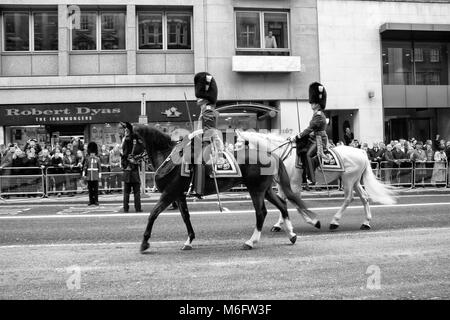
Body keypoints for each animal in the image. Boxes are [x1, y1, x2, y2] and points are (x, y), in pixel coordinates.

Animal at [127, 125, 320, 252]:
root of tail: (271, 153)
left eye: (128, 139)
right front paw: (189, 241)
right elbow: (185, 217)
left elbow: (153, 214)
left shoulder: (169, 194)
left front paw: (144, 242)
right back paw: (291, 234)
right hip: (266, 189)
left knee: (261, 213)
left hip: (256, 190)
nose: (124, 160)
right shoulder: (178, 195)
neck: (170, 157)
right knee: (282, 204)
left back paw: (251, 242)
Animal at [239, 131, 398, 231]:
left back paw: (335, 222)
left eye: (239, 144)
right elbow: (282, 202)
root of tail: (361, 151)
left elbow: (295, 204)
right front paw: (279, 225)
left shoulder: (294, 185)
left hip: (348, 180)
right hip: (355, 181)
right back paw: (366, 223)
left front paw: (313, 221)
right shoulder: (281, 185)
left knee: (349, 198)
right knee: (364, 198)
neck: (282, 154)